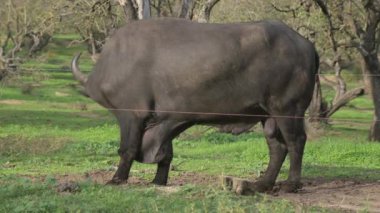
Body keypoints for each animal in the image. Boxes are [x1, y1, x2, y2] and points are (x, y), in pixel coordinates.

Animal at [70, 18, 318, 194]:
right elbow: (165, 154)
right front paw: (158, 180)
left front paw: (117, 179)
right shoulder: (168, 119)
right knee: (277, 146)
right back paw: (263, 184)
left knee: (296, 142)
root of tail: (306, 45)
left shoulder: (131, 115)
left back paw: (291, 184)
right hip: (267, 114)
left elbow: (127, 148)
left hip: (288, 109)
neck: (116, 62)